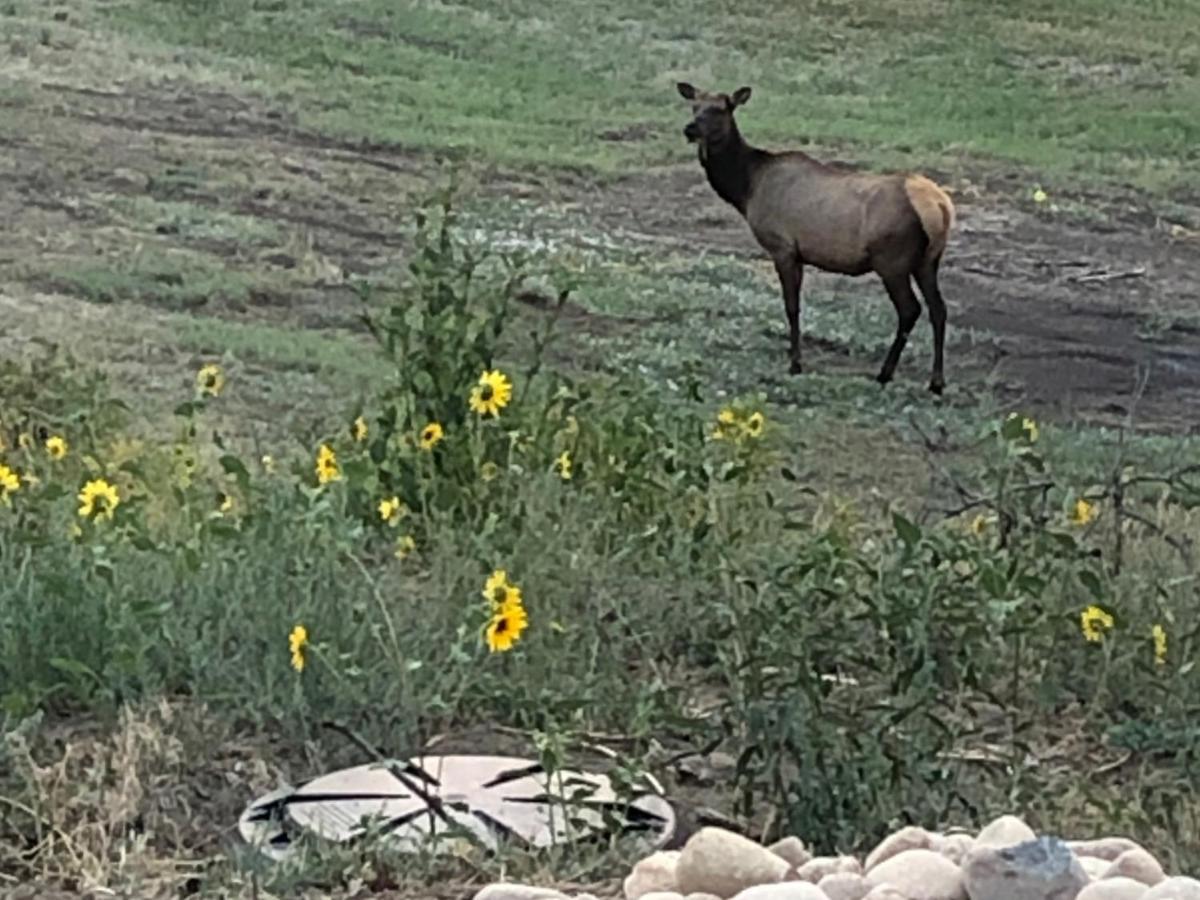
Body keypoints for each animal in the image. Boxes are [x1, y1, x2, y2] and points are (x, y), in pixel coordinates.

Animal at [681, 82, 950, 393]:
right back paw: (936, 381)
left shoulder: (783, 247)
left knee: (910, 309)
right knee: (938, 309)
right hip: (928, 261)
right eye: (694, 106)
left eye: (721, 109)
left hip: (891, 260)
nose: (690, 129)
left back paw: (885, 373)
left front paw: (795, 364)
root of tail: (940, 206)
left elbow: (792, 306)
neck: (746, 189)